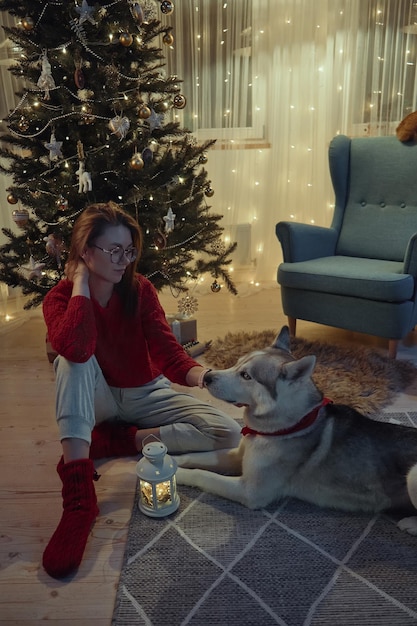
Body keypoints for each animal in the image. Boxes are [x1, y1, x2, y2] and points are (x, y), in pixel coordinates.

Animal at [176, 324, 417, 532]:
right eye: (236, 363)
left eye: (246, 375)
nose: (207, 376)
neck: (283, 427)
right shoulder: (238, 456)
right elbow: (198, 456)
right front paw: (172, 459)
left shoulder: (250, 491)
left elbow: (202, 475)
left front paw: (178, 474)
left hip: (412, 476)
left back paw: (409, 524)